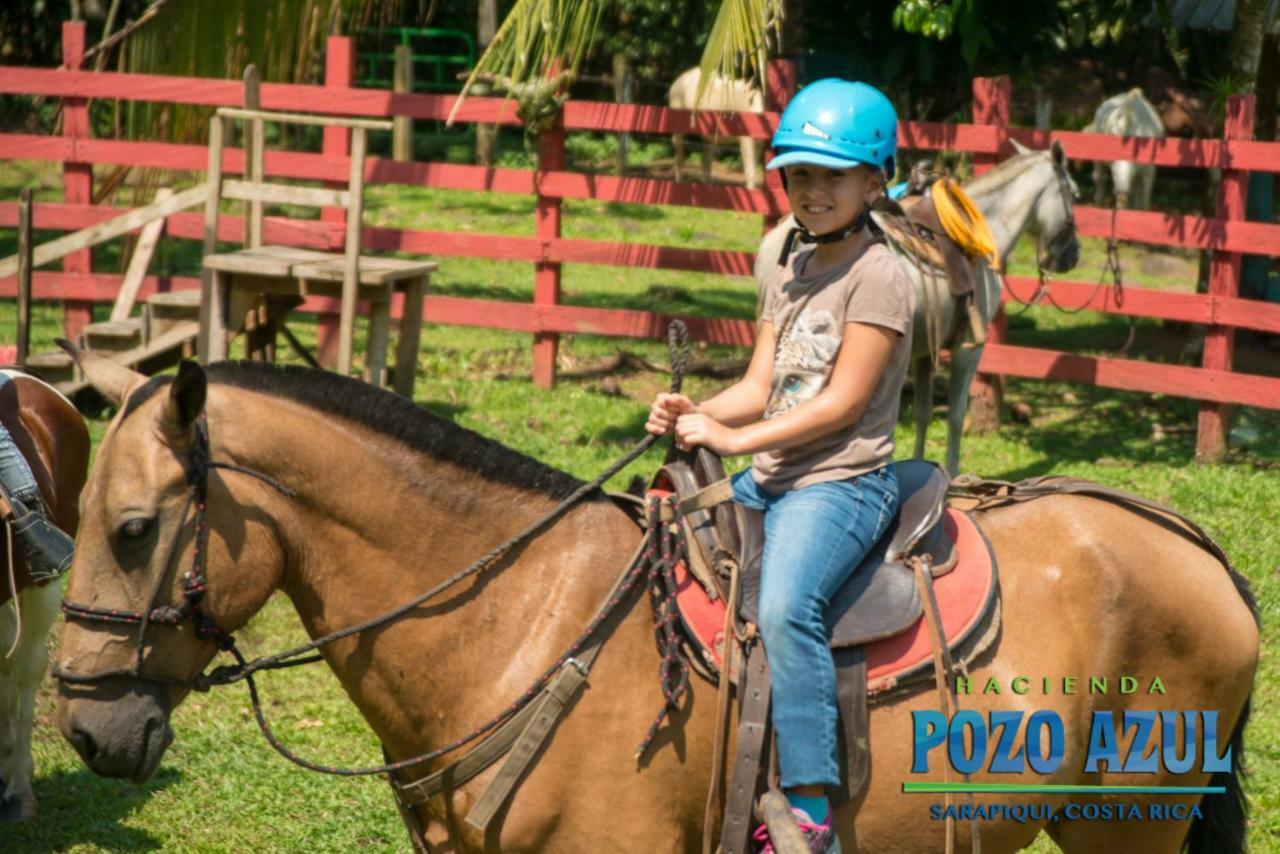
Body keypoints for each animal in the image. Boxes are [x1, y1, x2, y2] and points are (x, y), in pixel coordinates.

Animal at [752, 140, 1085, 473]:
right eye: (1074, 194)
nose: (1072, 256)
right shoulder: (969, 348)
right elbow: (956, 415)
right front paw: (952, 474)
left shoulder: (924, 352)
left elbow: (923, 411)